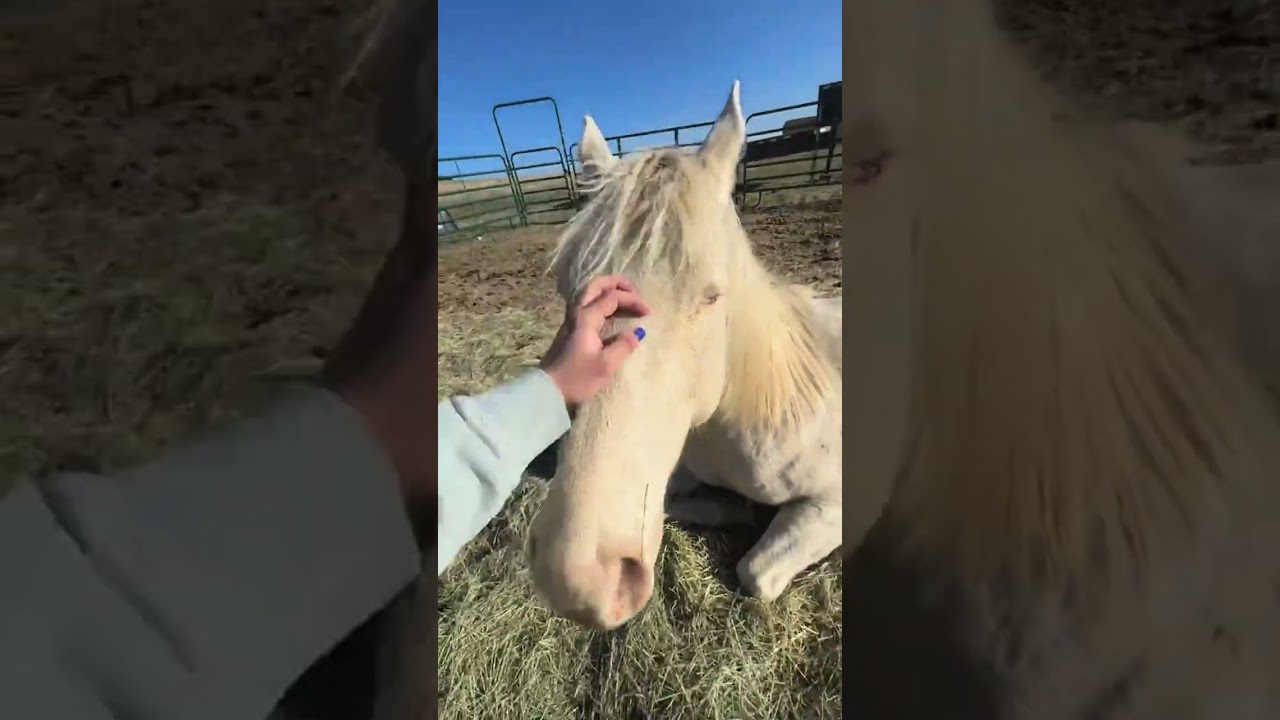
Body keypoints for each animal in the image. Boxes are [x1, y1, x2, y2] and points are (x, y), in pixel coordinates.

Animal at [523, 82, 848, 631]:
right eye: (568, 291)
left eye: (712, 296)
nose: (577, 582)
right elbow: (678, 505)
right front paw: (738, 510)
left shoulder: (835, 499)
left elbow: (757, 572)